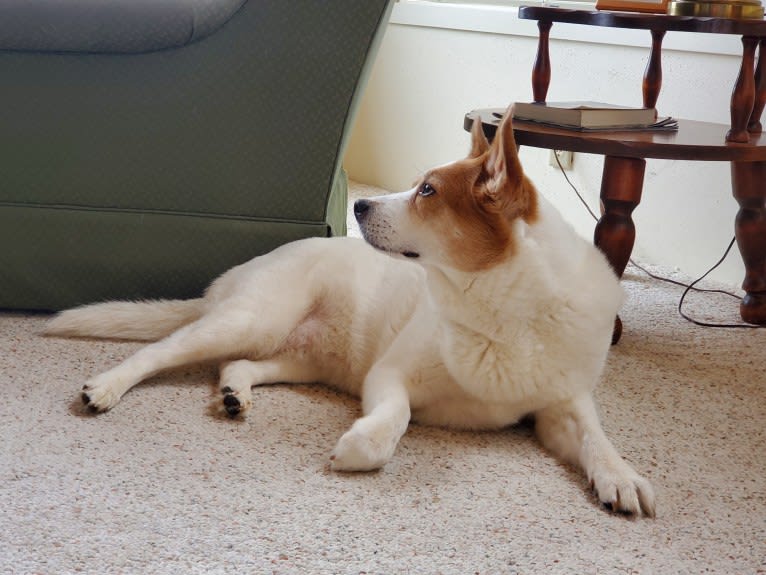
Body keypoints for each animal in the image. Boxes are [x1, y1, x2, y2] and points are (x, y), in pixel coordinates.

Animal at [45, 107, 656, 516]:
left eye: (427, 191)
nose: (359, 204)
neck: (504, 311)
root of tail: (233, 278)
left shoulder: (562, 405)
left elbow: (596, 437)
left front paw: (621, 477)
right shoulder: (389, 375)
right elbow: (395, 420)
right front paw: (360, 446)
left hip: (299, 358)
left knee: (237, 365)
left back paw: (235, 393)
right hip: (250, 319)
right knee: (159, 351)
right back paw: (107, 386)